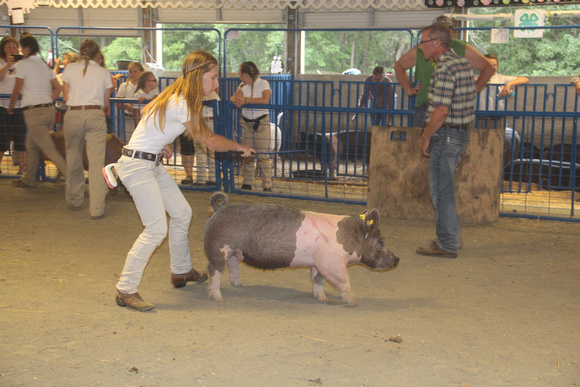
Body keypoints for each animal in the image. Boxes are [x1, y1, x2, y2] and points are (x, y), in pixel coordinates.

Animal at [203, 192, 398, 304]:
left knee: (232, 265)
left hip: (234, 251)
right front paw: (352, 301)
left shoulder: (318, 263)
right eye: (381, 240)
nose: (397, 259)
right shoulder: (331, 263)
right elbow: (343, 280)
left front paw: (322, 299)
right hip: (219, 248)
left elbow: (318, 280)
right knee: (213, 270)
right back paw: (218, 297)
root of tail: (218, 209)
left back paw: (238, 284)